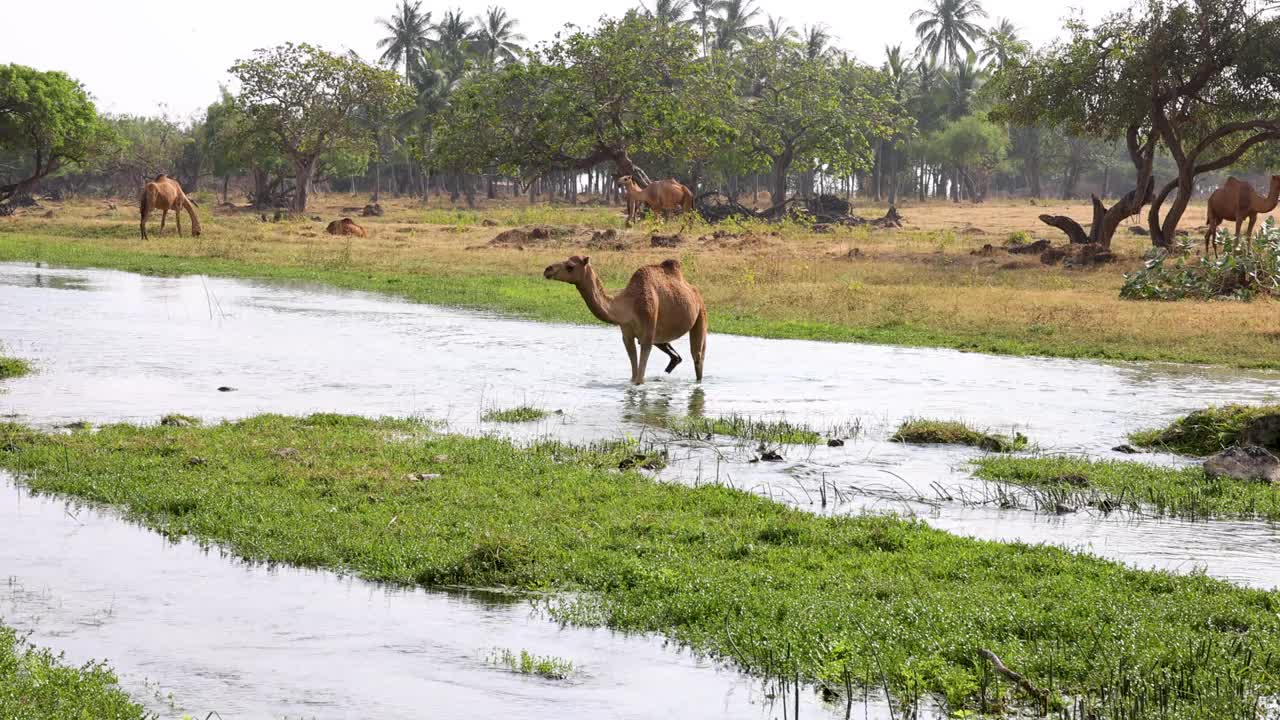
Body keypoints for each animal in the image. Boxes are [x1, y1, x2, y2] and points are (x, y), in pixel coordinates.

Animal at [542, 254, 711, 384]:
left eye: (570, 266)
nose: (547, 269)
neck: (629, 305)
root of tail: (696, 292)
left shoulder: (647, 328)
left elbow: (639, 378)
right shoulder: (627, 334)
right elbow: (633, 374)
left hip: (700, 314)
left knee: (698, 356)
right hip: (660, 334)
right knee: (674, 353)